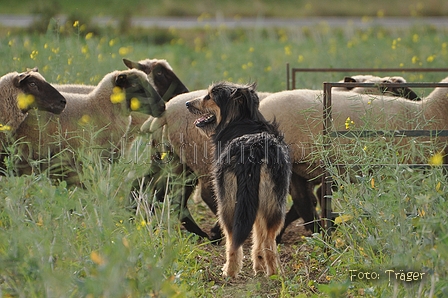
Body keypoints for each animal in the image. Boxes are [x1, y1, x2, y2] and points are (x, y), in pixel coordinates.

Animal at [186, 81, 290, 278]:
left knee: (233, 239)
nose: (187, 103)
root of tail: (253, 149)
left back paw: (229, 271)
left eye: (210, 96)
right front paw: (259, 266)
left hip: (227, 203)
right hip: (273, 201)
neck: (243, 120)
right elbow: (258, 237)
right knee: (268, 240)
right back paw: (274, 273)